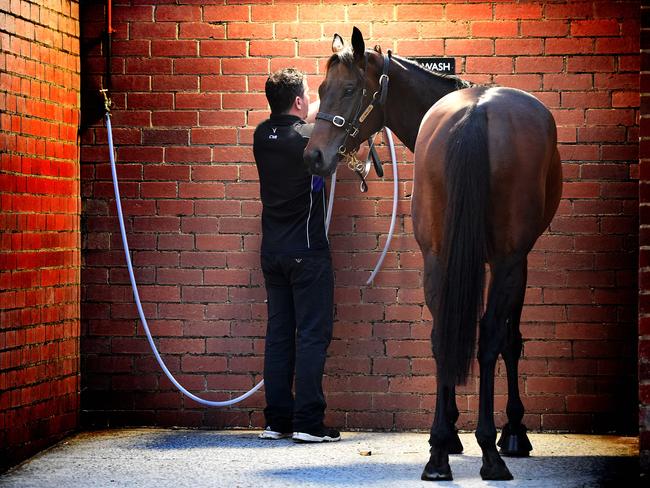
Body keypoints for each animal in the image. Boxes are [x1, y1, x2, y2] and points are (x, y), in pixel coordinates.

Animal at [304, 28, 560, 482]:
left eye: (348, 89)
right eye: (320, 90)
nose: (314, 156)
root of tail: (476, 112)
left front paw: (451, 435)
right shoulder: (518, 259)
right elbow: (509, 340)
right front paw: (513, 432)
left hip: (441, 256)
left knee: (444, 335)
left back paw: (440, 453)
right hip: (505, 260)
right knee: (488, 338)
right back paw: (489, 454)